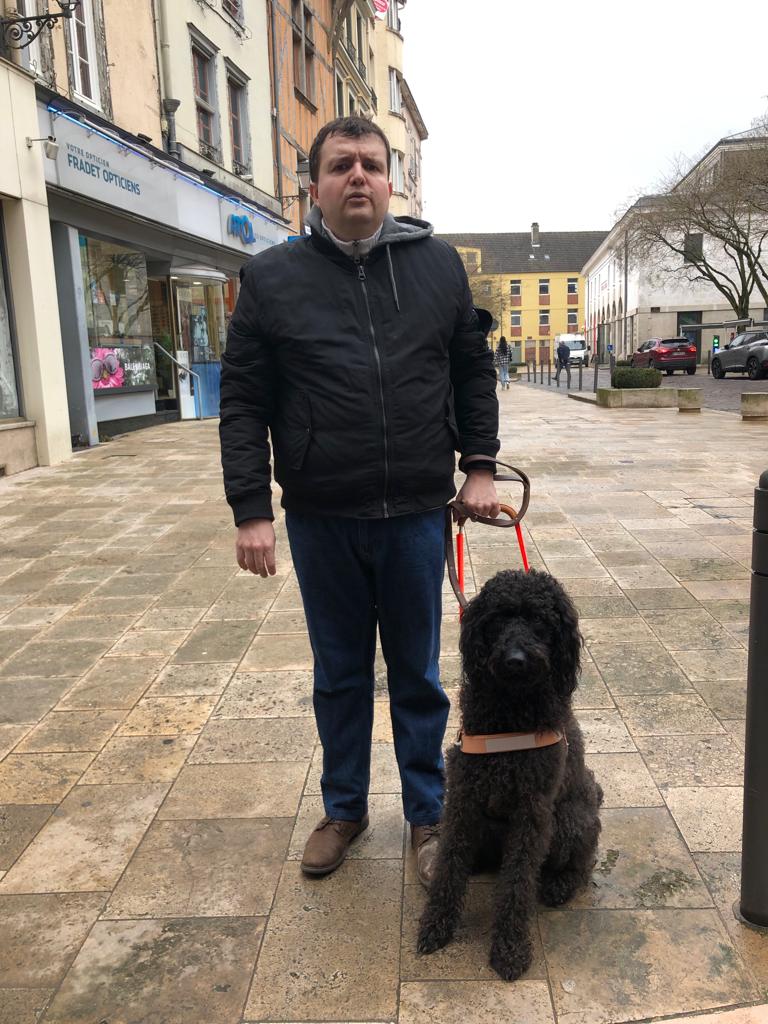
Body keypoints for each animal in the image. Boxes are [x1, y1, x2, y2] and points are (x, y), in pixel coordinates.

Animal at [417, 573, 606, 978]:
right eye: (499, 618)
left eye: (540, 621)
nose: (516, 660)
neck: (510, 713)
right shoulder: (464, 797)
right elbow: (449, 864)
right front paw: (436, 925)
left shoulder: (532, 813)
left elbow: (518, 882)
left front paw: (510, 949)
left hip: (569, 819)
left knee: (581, 864)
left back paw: (559, 885)